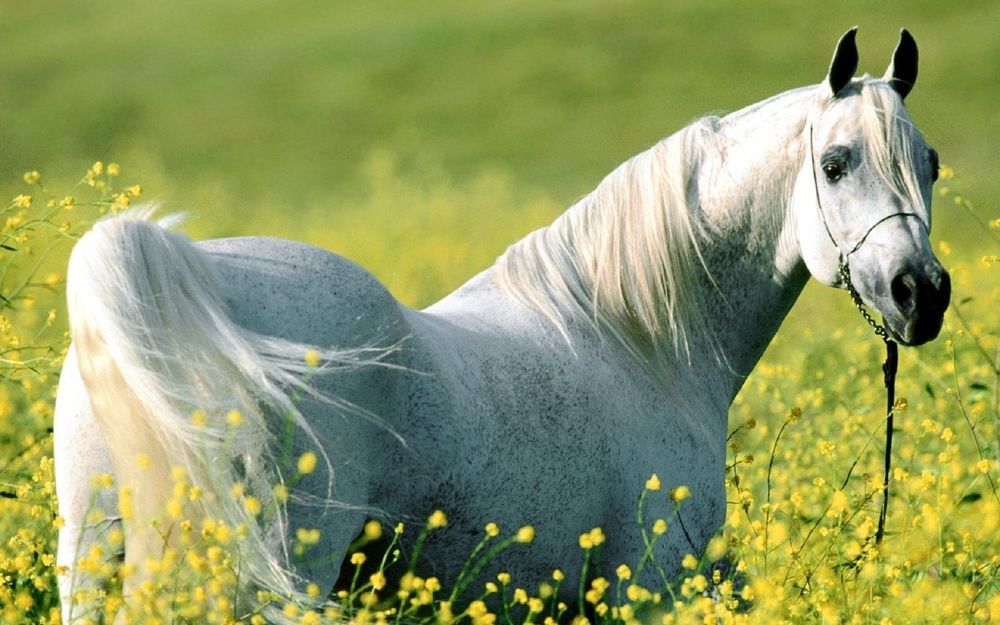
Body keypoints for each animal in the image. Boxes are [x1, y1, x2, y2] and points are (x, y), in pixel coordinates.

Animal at [54, 28, 949, 623]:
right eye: (834, 163)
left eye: (932, 164)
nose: (923, 293)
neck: (637, 340)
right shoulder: (645, 591)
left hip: (93, 563)